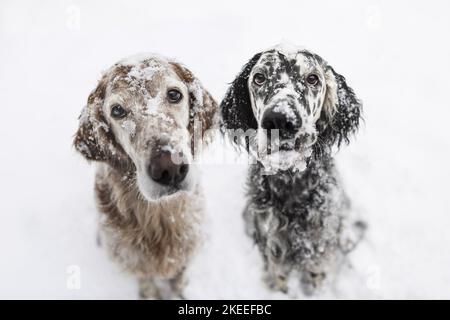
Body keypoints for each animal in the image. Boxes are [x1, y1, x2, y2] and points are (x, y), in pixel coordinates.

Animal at [74, 53, 218, 298]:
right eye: (117, 111)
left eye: (174, 94)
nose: (169, 169)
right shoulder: (134, 262)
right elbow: (147, 282)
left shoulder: (187, 252)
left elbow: (179, 281)